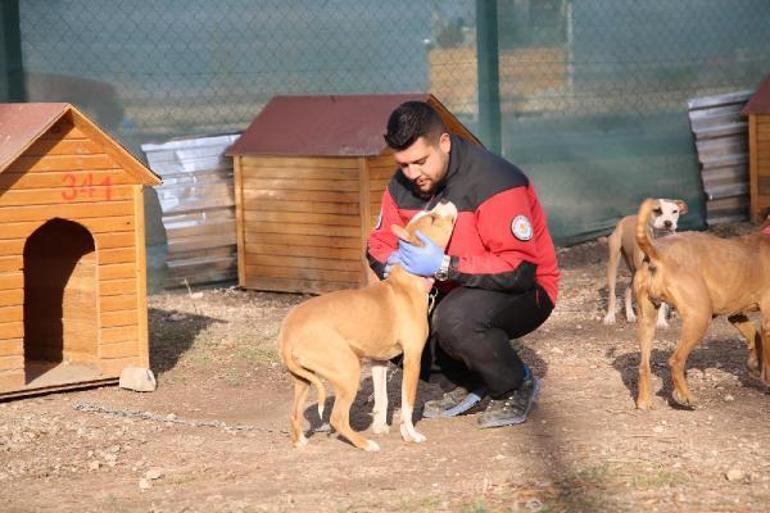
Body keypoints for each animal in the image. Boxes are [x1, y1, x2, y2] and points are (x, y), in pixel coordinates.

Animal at [600, 198, 684, 326]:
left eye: (675, 211)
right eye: (657, 210)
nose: (668, 223)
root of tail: (625, 219)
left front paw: (661, 322)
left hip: (634, 271)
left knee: (627, 290)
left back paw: (630, 315)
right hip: (614, 264)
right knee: (612, 293)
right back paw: (610, 317)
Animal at [632, 198, 764, 410]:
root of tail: (657, 253)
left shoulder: (736, 314)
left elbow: (756, 338)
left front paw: (754, 366)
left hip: (647, 320)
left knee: (644, 365)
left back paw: (644, 401)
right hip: (699, 317)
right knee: (675, 360)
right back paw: (686, 397)